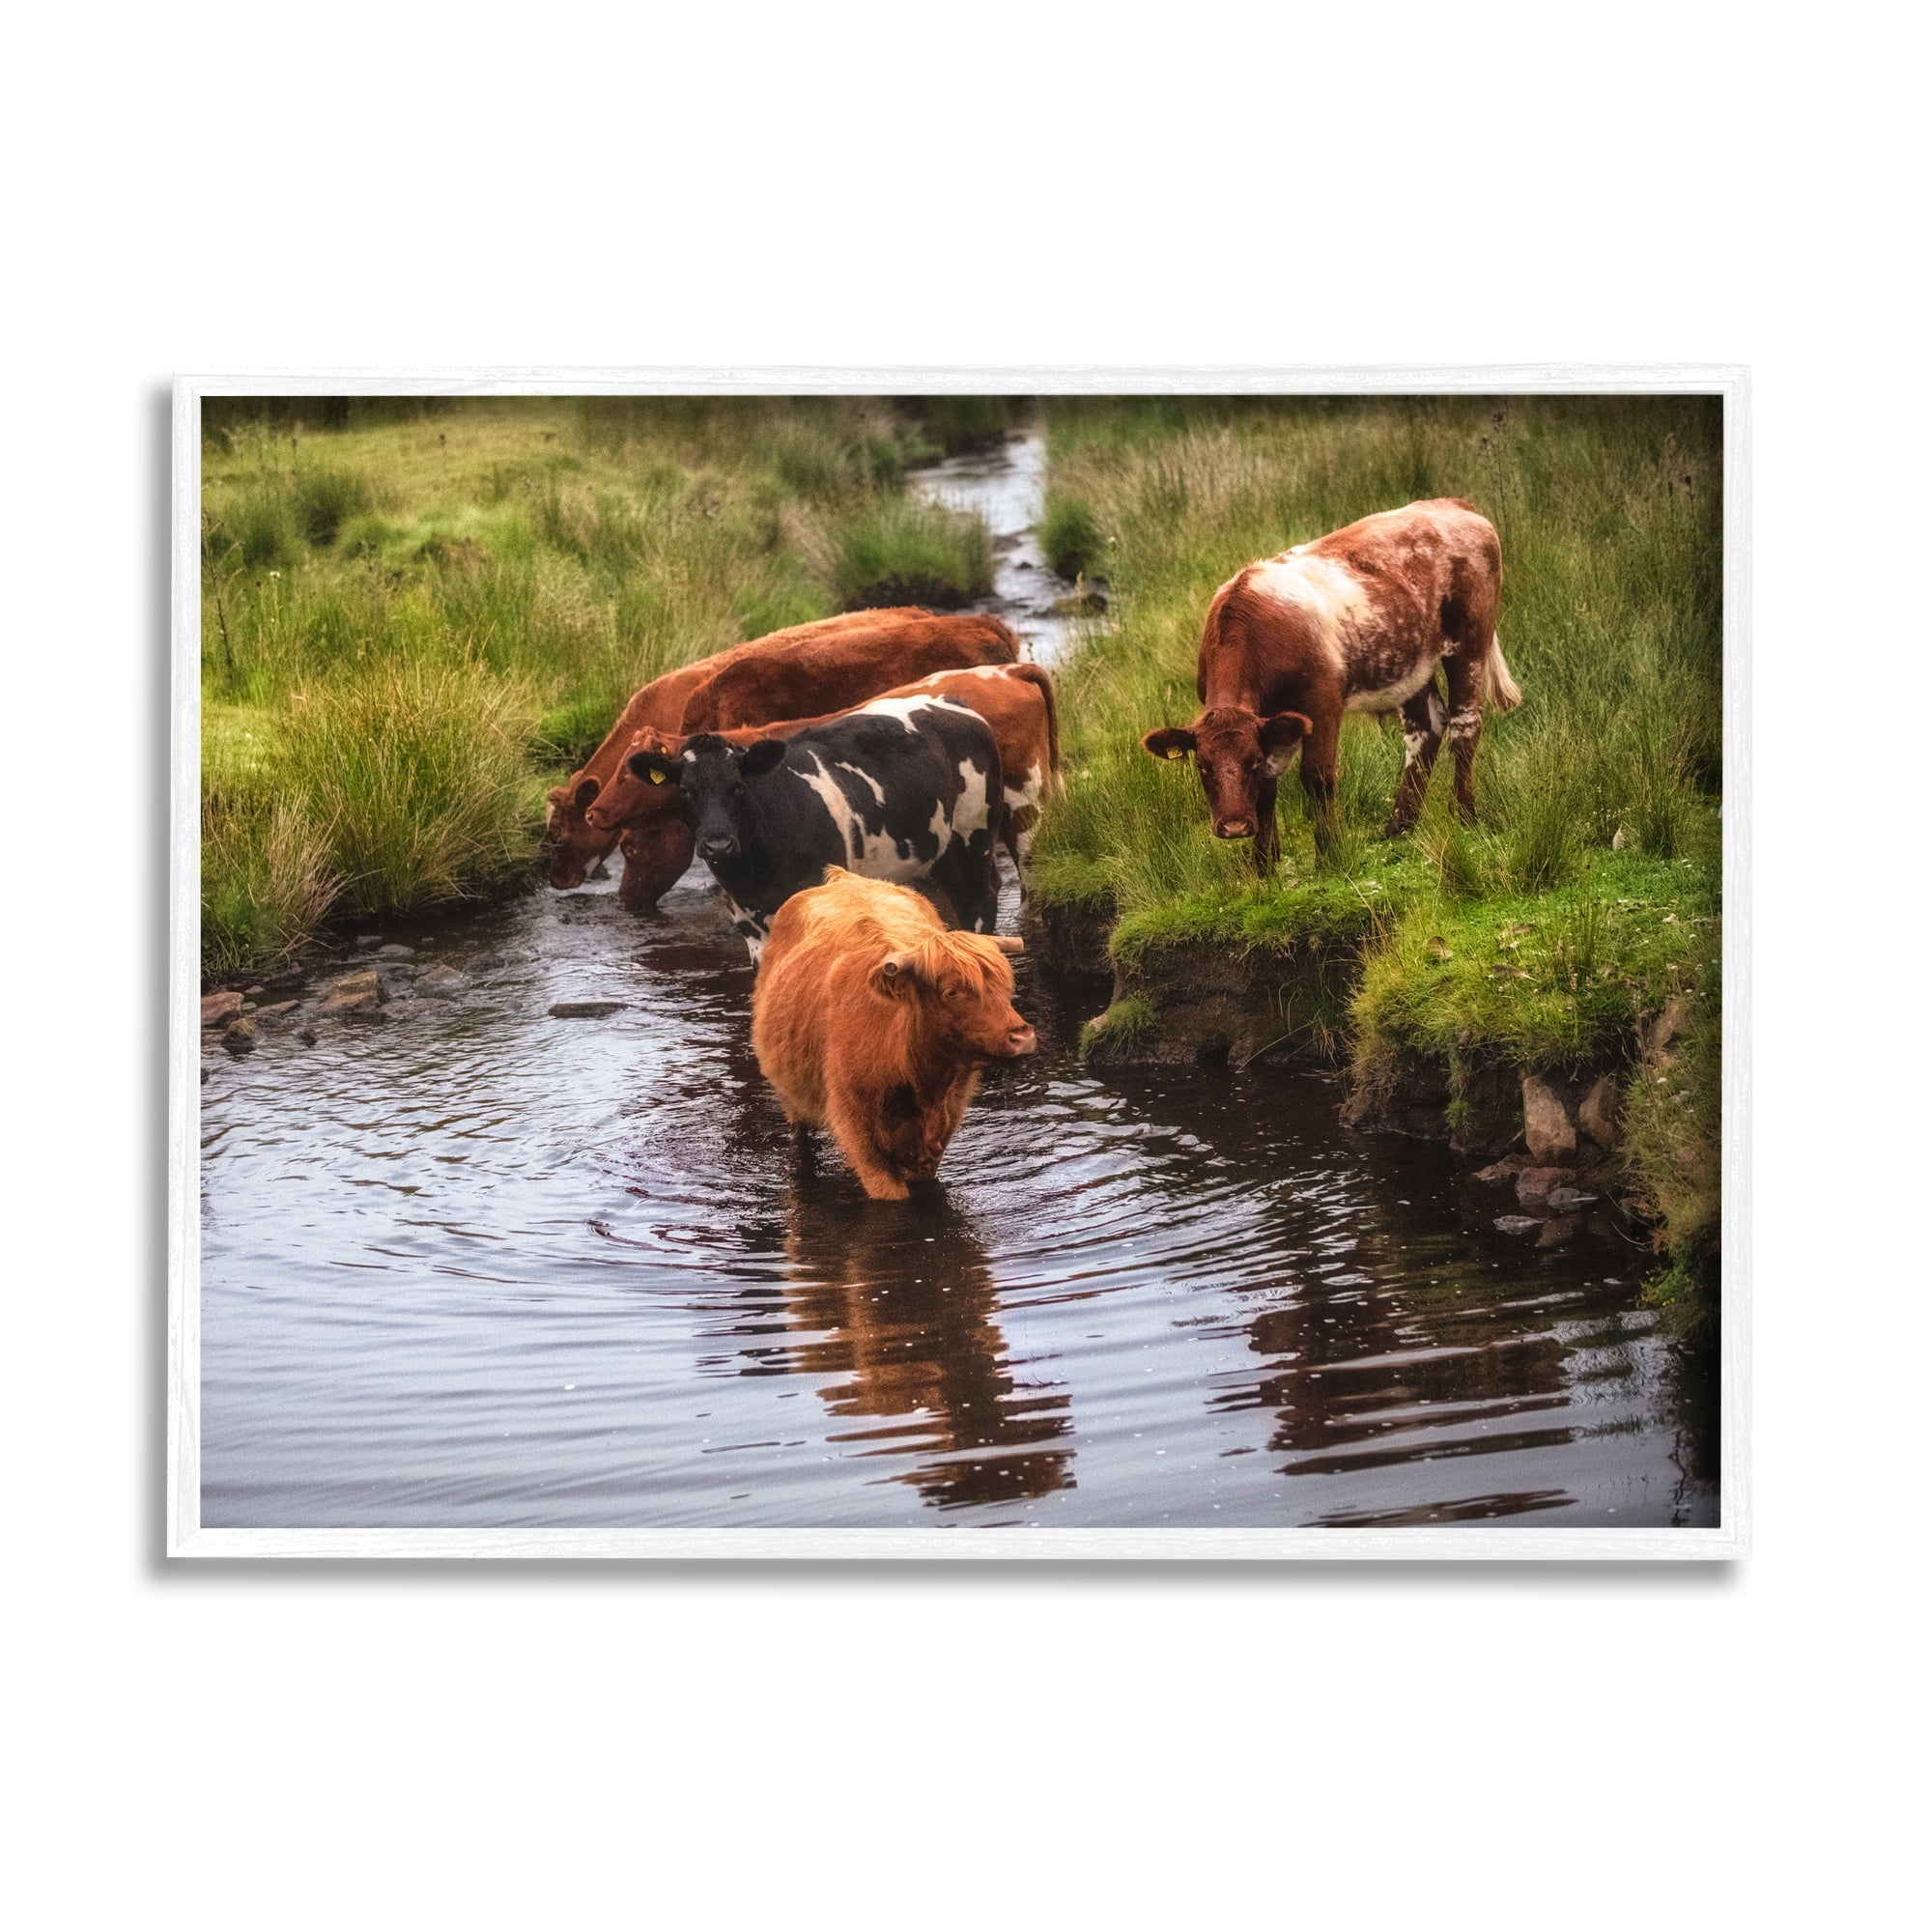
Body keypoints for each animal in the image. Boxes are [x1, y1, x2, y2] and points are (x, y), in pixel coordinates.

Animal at [623, 696, 1006, 959]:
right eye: (685, 791)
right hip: (944, 852)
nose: (718, 844)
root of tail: (951, 702)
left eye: (738, 786)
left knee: (980, 903)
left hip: (974, 838)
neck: (754, 874)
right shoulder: (749, 924)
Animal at [750, 867, 1035, 1200]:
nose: (1022, 1037)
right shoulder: (862, 1142)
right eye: (952, 992)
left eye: (1005, 984)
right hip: (792, 1099)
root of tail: (845, 877)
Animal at [1141, 498, 1520, 870]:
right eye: (1202, 766)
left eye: (1250, 762)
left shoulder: (1321, 703)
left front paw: (1329, 853)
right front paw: (1264, 861)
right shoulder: (1275, 722)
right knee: (1425, 730)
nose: (1234, 827)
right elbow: (1269, 785)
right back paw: (1400, 824)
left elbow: (1317, 777)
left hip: (1470, 640)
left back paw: (1464, 814)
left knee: (1464, 725)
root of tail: (1454, 505)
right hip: (1410, 664)